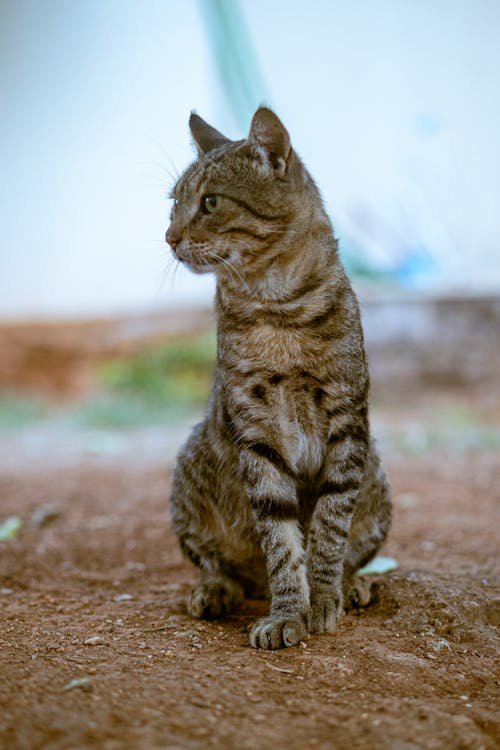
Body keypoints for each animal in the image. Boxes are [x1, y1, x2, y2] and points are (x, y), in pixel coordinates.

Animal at [166, 106, 392, 652]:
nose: (169, 236)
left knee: (354, 546)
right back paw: (216, 590)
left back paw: (354, 584)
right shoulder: (256, 431)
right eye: (173, 204)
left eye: (209, 202)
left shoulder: (348, 425)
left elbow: (329, 529)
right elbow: (281, 540)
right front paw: (288, 611)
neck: (277, 307)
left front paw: (324, 598)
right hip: (188, 474)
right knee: (223, 565)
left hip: (376, 473)